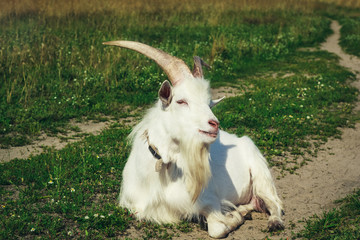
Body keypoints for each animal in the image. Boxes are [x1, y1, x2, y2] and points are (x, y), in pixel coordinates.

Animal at [103, 40, 284, 237]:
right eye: (181, 101)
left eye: (209, 103)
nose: (214, 124)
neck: (164, 170)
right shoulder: (135, 206)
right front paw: (234, 213)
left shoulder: (209, 200)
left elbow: (217, 229)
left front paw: (232, 218)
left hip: (261, 174)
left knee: (274, 202)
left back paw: (274, 223)